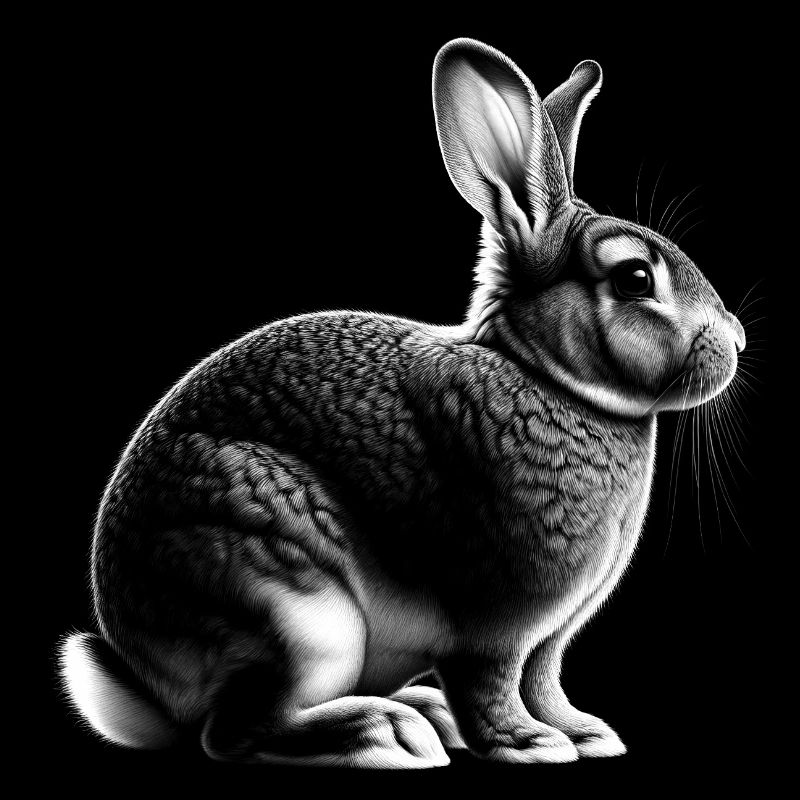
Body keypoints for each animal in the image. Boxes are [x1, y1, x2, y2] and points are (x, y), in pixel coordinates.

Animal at [59, 38, 746, 768]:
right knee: (238, 730)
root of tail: (152, 683)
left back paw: (421, 713)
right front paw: (530, 743)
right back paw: (384, 733)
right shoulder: (495, 620)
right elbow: (493, 680)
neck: (545, 376)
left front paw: (585, 732)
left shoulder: (552, 634)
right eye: (635, 277)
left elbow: (544, 676)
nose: (736, 339)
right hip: (291, 608)